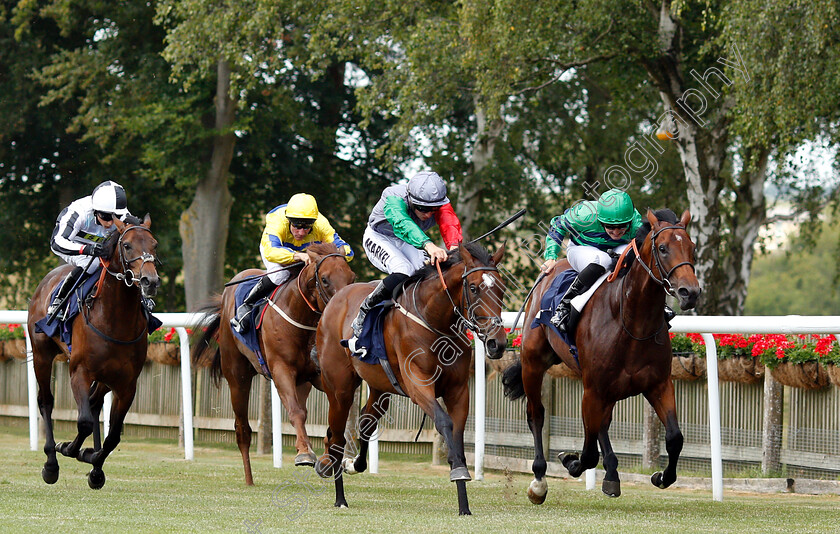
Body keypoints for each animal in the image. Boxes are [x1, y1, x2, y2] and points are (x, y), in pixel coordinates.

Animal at [27, 216, 160, 492]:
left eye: (154, 244)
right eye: (127, 246)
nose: (149, 281)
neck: (114, 319)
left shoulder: (126, 384)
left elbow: (113, 435)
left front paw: (94, 463)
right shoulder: (79, 371)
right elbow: (85, 421)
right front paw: (69, 449)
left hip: (106, 376)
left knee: (95, 403)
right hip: (42, 355)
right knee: (46, 401)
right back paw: (51, 463)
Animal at [191, 242, 354, 486]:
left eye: (352, 277)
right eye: (325, 279)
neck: (300, 316)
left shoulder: (317, 375)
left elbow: (335, 414)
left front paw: (327, 457)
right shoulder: (281, 369)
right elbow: (296, 412)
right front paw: (305, 452)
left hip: (301, 383)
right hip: (237, 376)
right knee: (242, 429)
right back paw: (249, 479)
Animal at [314, 244, 506, 520]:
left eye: (501, 288)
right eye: (473, 287)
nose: (497, 343)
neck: (433, 319)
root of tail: (335, 300)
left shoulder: (458, 390)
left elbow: (457, 433)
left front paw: (464, 503)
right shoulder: (418, 385)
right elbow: (444, 423)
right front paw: (458, 473)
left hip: (379, 388)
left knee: (365, 423)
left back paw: (355, 464)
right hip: (340, 389)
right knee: (337, 437)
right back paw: (339, 494)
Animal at [498, 210, 704, 506]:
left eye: (692, 247)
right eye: (663, 248)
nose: (690, 292)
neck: (631, 321)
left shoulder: (659, 384)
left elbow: (675, 437)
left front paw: (661, 477)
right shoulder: (592, 390)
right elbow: (587, 453)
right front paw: (569, 461)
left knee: (602, 425)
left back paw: (612, 474)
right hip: (533, 364)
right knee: (536, 414)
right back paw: (539, 480)